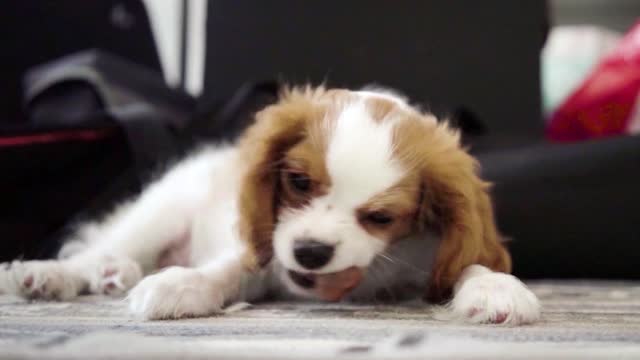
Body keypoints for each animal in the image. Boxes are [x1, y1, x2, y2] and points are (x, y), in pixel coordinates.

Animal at [0, 86, 540, 324]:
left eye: (381, 217)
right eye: (299, 182)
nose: (310, 253)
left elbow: (470, 262)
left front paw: (496, 288)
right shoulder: (265, 256)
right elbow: (230, 267)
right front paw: (184, 284)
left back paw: (111, 274)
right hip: (161, 209)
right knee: (96, 249)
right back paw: (49, 275)